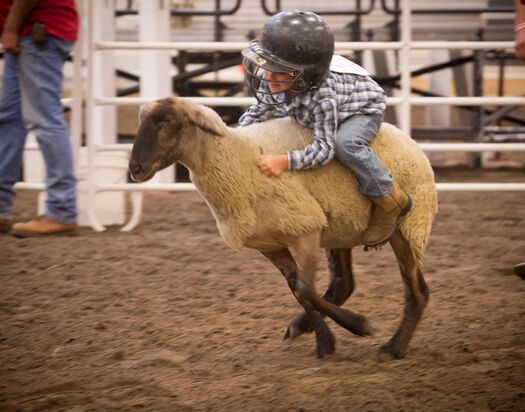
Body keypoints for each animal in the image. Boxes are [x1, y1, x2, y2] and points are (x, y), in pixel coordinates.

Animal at [129, 97, 436, 360]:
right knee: (343, 283)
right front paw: (324, 342)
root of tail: (411, 142)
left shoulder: (305, 228)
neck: (237, 159)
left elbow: (305, 289)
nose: (135, 169)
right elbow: (297, 289)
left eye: (168, 122)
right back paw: (303, 327)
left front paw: (358, 324)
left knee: (417, 291)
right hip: (342, 225)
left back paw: (393, 347)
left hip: (408, 226)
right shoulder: (270, 244)